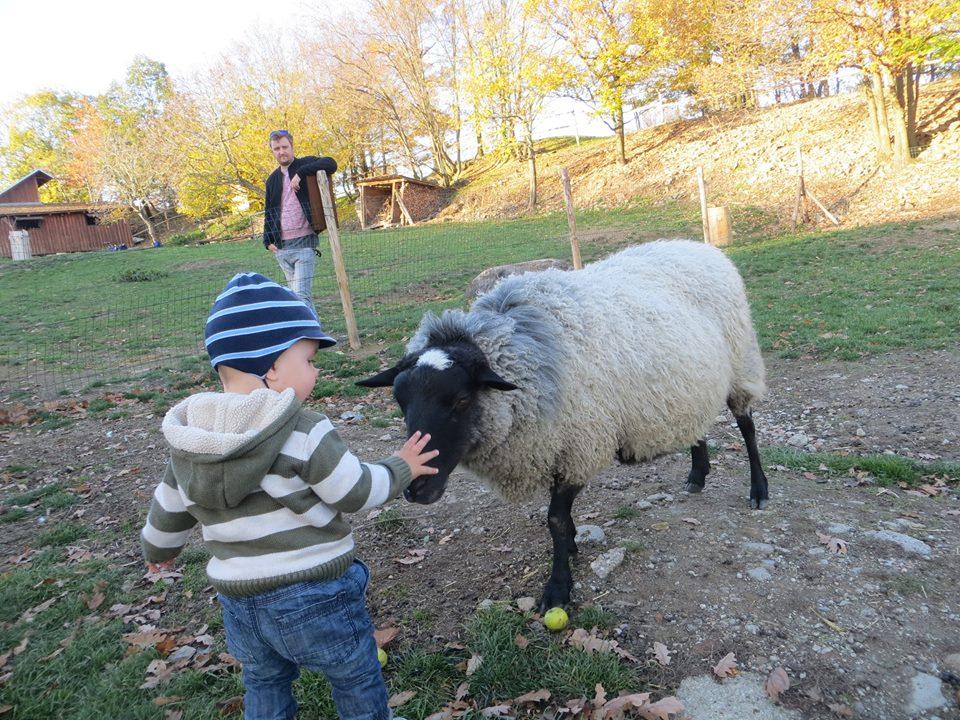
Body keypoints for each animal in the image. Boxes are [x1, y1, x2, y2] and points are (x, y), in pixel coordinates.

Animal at [359, 240, 769, 609]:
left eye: (461, 400)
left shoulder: (581, 446)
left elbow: (554, 518)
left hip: (741, 363)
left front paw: (558, 586)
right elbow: (560, 517)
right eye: (400, 402)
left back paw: (759, 490)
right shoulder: (556, 444)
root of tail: (701, 247)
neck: (530, 358)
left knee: (747, 426)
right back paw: (698, 473)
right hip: (689, 382)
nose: (416, 489)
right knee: (696, 423)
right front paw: (570, 545)